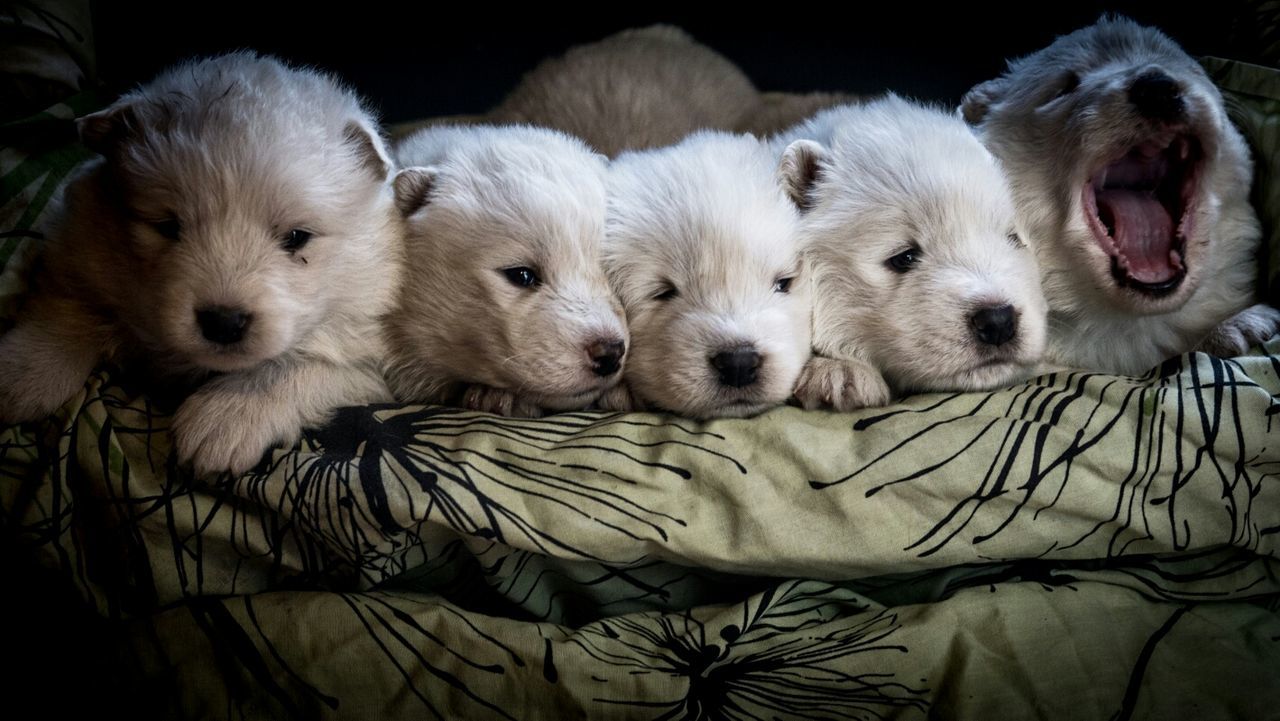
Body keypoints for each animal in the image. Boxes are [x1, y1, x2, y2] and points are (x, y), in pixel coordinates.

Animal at [0, 53, 404, 476]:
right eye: (167, 226)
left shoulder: (370, 352)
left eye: (296, 237)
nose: (224, 323)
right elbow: (70, 307)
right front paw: (24, 373)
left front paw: (226, 416)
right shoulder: (78, 247)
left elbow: (296, 366)